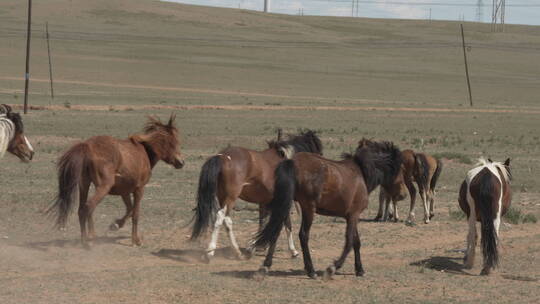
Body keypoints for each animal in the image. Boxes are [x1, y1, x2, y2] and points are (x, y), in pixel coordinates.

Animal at [47, 114, 185, 247]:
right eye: (173, 142)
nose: (181, 162)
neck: (144, 151)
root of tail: (87, 146)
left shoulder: (125, 192)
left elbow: (129, 209)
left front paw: (116, 225)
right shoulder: (139, 189)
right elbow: (135, 214)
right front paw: (136, 240)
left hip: (84, 185)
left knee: (82, 209)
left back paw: (87, 238)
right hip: (103, 187)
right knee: (88, 208)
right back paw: (88, 241)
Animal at [192, 128, 322, 262]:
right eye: (318, 150)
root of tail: (222, 157)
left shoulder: (265, 202)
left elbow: (263, 222)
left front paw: (256, 245)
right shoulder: (284, 202)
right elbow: (287, 224)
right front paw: (293, 251)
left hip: (223, 197)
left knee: (225, 220)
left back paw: (237, 252)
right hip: (230, 198)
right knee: (222, 218)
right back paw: (211, 252)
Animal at [252, 139, 400, 280]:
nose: (397, 195)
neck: (361, 172)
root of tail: (292, 162)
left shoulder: (352, 216)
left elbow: (356, 242)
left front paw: (359, 269)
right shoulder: (354, 215)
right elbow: (349, 242)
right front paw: (332, 268)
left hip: (286, 204)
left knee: (276, 231)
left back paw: (266, 265)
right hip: (308, 208)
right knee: (303, 235)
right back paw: (311, 271)